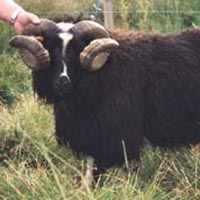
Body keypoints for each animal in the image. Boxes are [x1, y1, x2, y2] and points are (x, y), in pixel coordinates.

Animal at [9, 19, 200, 183]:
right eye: (50, 48)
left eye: (78, 49)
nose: (62, 81)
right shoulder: (94, 135)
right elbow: (92, 171)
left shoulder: (121, 136)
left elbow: (117, 170)